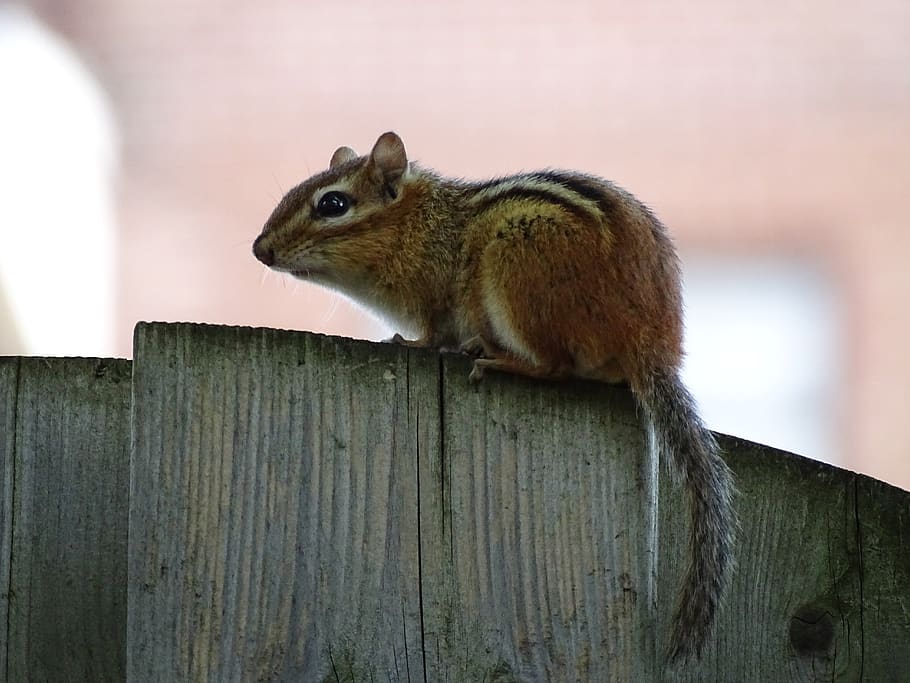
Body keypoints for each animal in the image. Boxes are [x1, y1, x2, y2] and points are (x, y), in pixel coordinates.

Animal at [252, 131, 735, 663]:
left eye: (333, 204)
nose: (260, 248)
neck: (417, 224)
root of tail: (650, 344)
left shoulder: (435, 299)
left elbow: (432, 334)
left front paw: (409, 344)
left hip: (516, 266)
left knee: (553, 366)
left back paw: (495, 357)